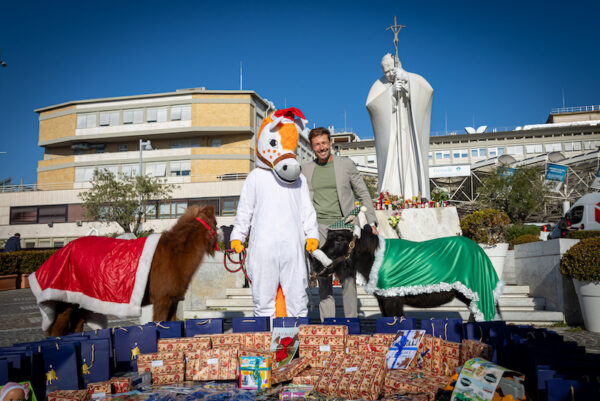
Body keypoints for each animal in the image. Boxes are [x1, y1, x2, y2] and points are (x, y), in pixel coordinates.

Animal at [47, 205, 219, 336]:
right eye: (215, 223)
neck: (174, 255)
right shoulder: (162, 301)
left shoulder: (173, 301)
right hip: (67, 303)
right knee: (57, 330)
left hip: (83, 303)